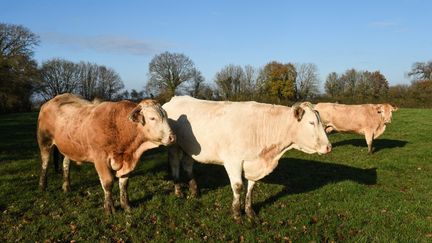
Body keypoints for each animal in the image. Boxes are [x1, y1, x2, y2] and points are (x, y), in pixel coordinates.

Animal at [37, 94, 175, 214]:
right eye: (152, 118)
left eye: (166, 116)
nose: (172, 137)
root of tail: (54, 99)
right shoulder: (100, 159)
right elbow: (108, 182)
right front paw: (109, 208)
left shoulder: (127, 161)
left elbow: (124, 184)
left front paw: (126, 205)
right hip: (44, 142)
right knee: (44, 164)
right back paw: (42, 186)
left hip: (69, 147)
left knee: (66, 163)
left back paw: (66, 186)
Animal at [162, 96, 330, 221]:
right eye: (311, 122)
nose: (328, 147)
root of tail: (174, 99)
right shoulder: (233, 161)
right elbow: (238, 187)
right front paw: (237, 214)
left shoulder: (253, 164)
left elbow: (251, 188)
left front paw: (249, 212)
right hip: (173, 144)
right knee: (175, 164)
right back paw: (179, 192)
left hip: (189, 148)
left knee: (187, 165)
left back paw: (194, 191)